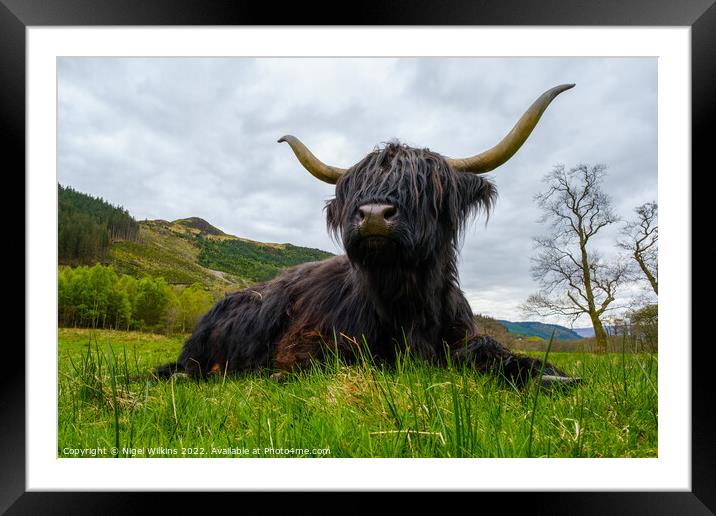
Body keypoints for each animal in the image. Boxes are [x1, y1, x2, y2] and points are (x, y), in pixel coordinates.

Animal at [157, 83, 580, 388]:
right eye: (357, 189)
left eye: (424, 185)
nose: (374, 215)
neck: (407, 302)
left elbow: (484, 349)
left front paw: (551, 375)